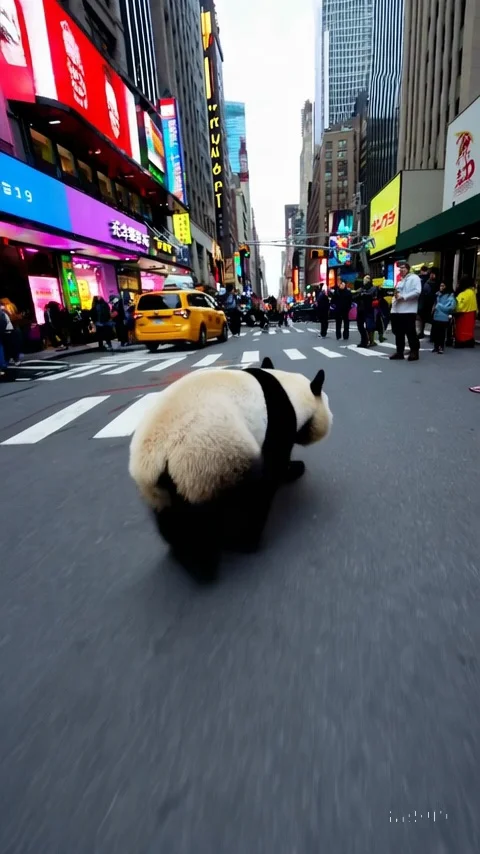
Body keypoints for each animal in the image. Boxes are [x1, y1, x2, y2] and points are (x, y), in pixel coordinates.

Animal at [128, 357, 333, 581]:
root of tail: (157, 459)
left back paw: (185, 557)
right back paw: (229, 550)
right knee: (244, 498)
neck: (288, 390)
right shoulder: (279, 422)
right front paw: (294, 469)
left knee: (171, 517)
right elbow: (275, 462)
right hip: (211, 458)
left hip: (158, 489)